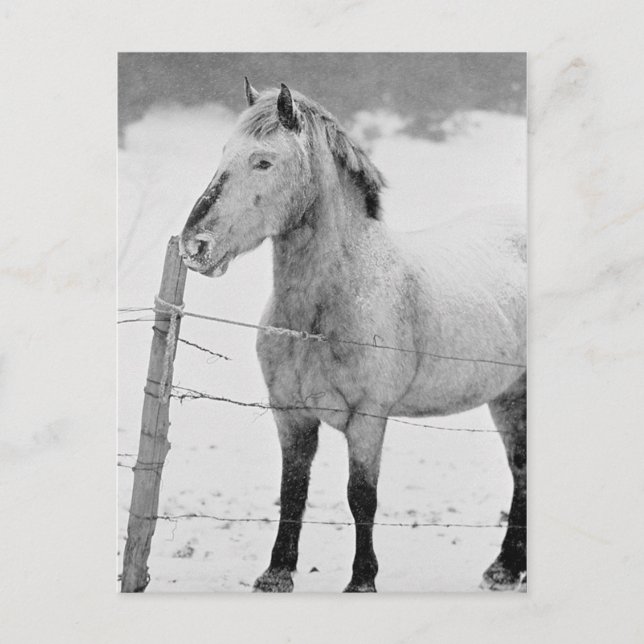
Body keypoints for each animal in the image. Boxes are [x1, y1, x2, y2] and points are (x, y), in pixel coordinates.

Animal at [179, 79, 527, 592]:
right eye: (224, 153)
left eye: (263, 161)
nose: (194, 246)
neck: (320, 315)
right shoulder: (291, 415)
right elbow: (293, 491)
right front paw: (277, 573)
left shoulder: (368, 417)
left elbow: (361, 495)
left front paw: (362, 579)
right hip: (507, 396)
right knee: (521, 468)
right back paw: (505, 568)